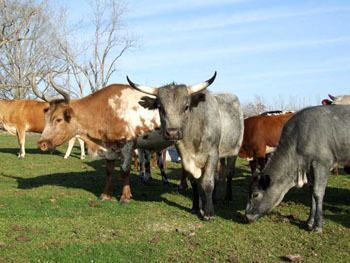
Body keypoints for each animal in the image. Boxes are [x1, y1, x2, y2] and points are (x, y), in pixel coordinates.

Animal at [127, 72, 245, 221]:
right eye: (160, 107)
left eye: (186, 106)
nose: (172, 132)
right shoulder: (185, 158)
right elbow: (194, 182)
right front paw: (195, 207)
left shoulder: (212, 154)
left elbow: (208, 183)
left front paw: (208, 212)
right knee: (217, 175)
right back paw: (214, 198)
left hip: (234, 150)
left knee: (229, 173)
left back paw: (228, 197)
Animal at [245, 105, 350, 233]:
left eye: (255, 194)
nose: (246, 216)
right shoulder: (309, 167)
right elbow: (311, 192)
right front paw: (310, 221)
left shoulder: (322, 163)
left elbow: (317, 193)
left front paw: (318, 225)